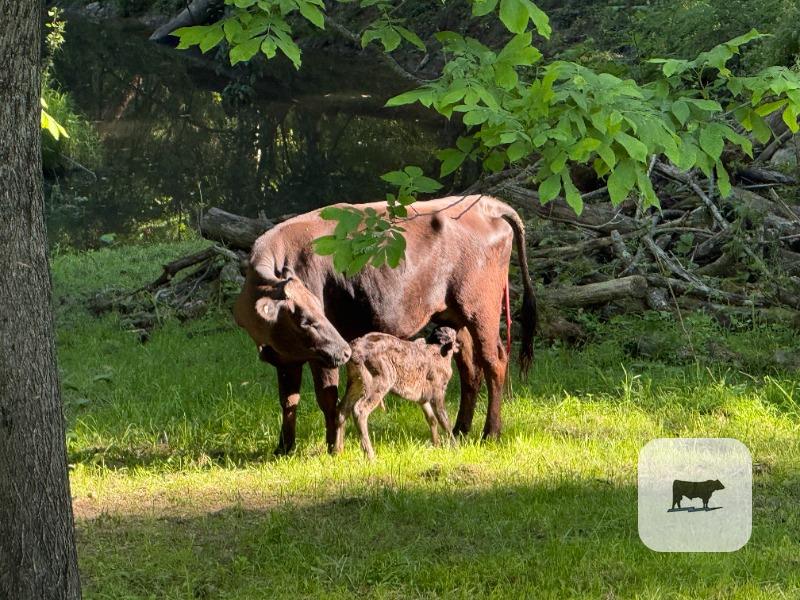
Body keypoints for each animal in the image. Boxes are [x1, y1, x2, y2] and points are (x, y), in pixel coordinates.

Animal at [233, 194, 537, 455]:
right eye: (304, 319)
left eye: (322, 311)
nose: (345, 351)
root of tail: (486, 204)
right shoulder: (287, 360)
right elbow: (289, 401)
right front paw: (284, 448)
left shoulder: (322, 359)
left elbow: (327, 398)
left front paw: (333, 448)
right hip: (454, 317)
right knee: (470, 369)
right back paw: (461, 430)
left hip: (480, 312)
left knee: (493, 362)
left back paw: (491, 433)